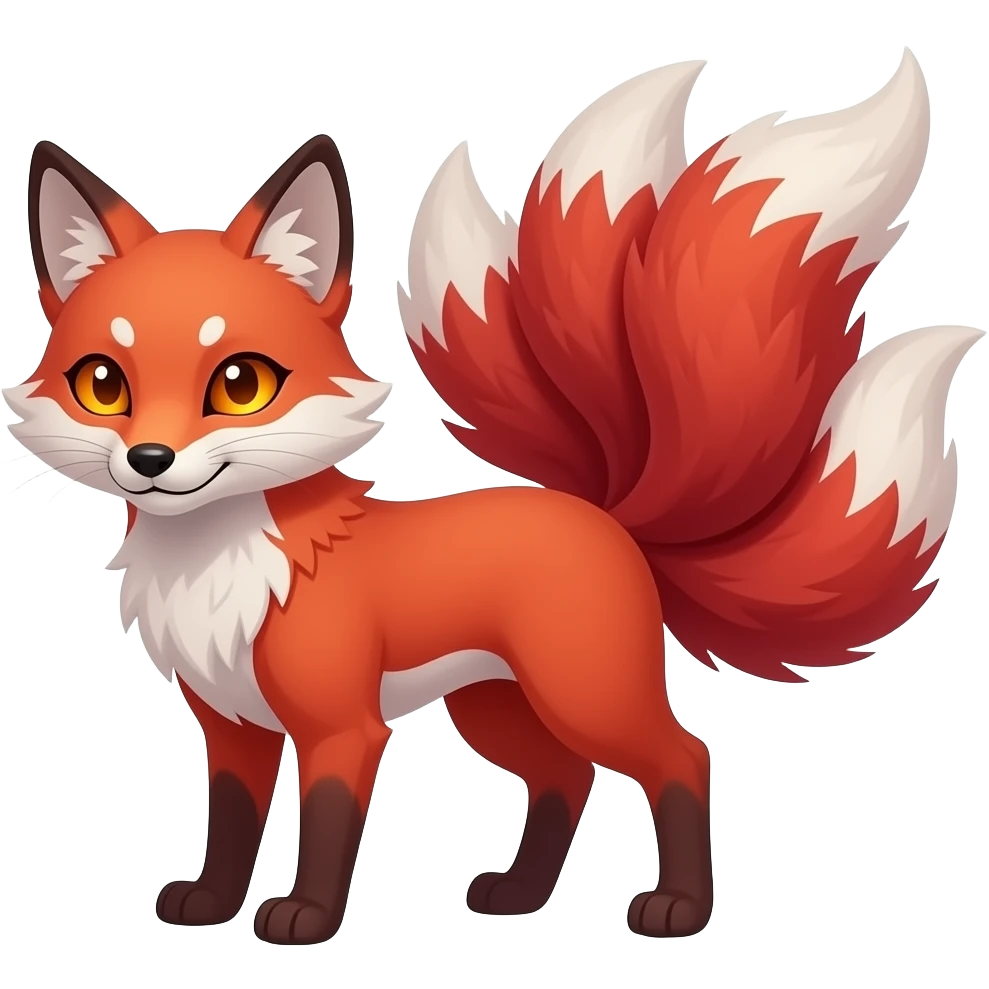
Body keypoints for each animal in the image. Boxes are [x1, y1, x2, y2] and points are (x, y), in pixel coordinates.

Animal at [4, 50, 980, 945]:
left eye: (240, 384)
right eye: (102, 384)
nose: (150, 457)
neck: (223, 568)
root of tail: (604, 514)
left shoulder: (342, 727)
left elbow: (325, 828)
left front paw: (306, 918)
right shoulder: (231, 725)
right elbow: (233, 824)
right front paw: (211, 903)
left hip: (582, 691)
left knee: (681, 757)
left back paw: (676, 908)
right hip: (496, 708)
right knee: (564, 779)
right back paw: (520, 895)